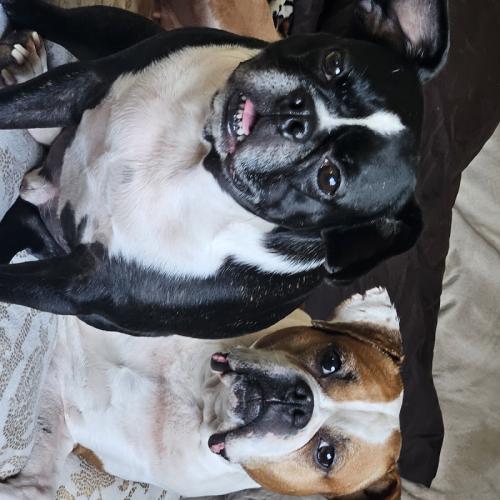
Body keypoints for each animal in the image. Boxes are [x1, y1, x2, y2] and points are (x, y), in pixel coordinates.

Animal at [0, 0, 448, 338]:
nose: (299, 115)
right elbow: (12, 106)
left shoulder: (78, 285)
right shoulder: (87, 82)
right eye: (334, 63)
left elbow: (10, 282)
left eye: (329, 179)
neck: (199, 154)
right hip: (113, 29)